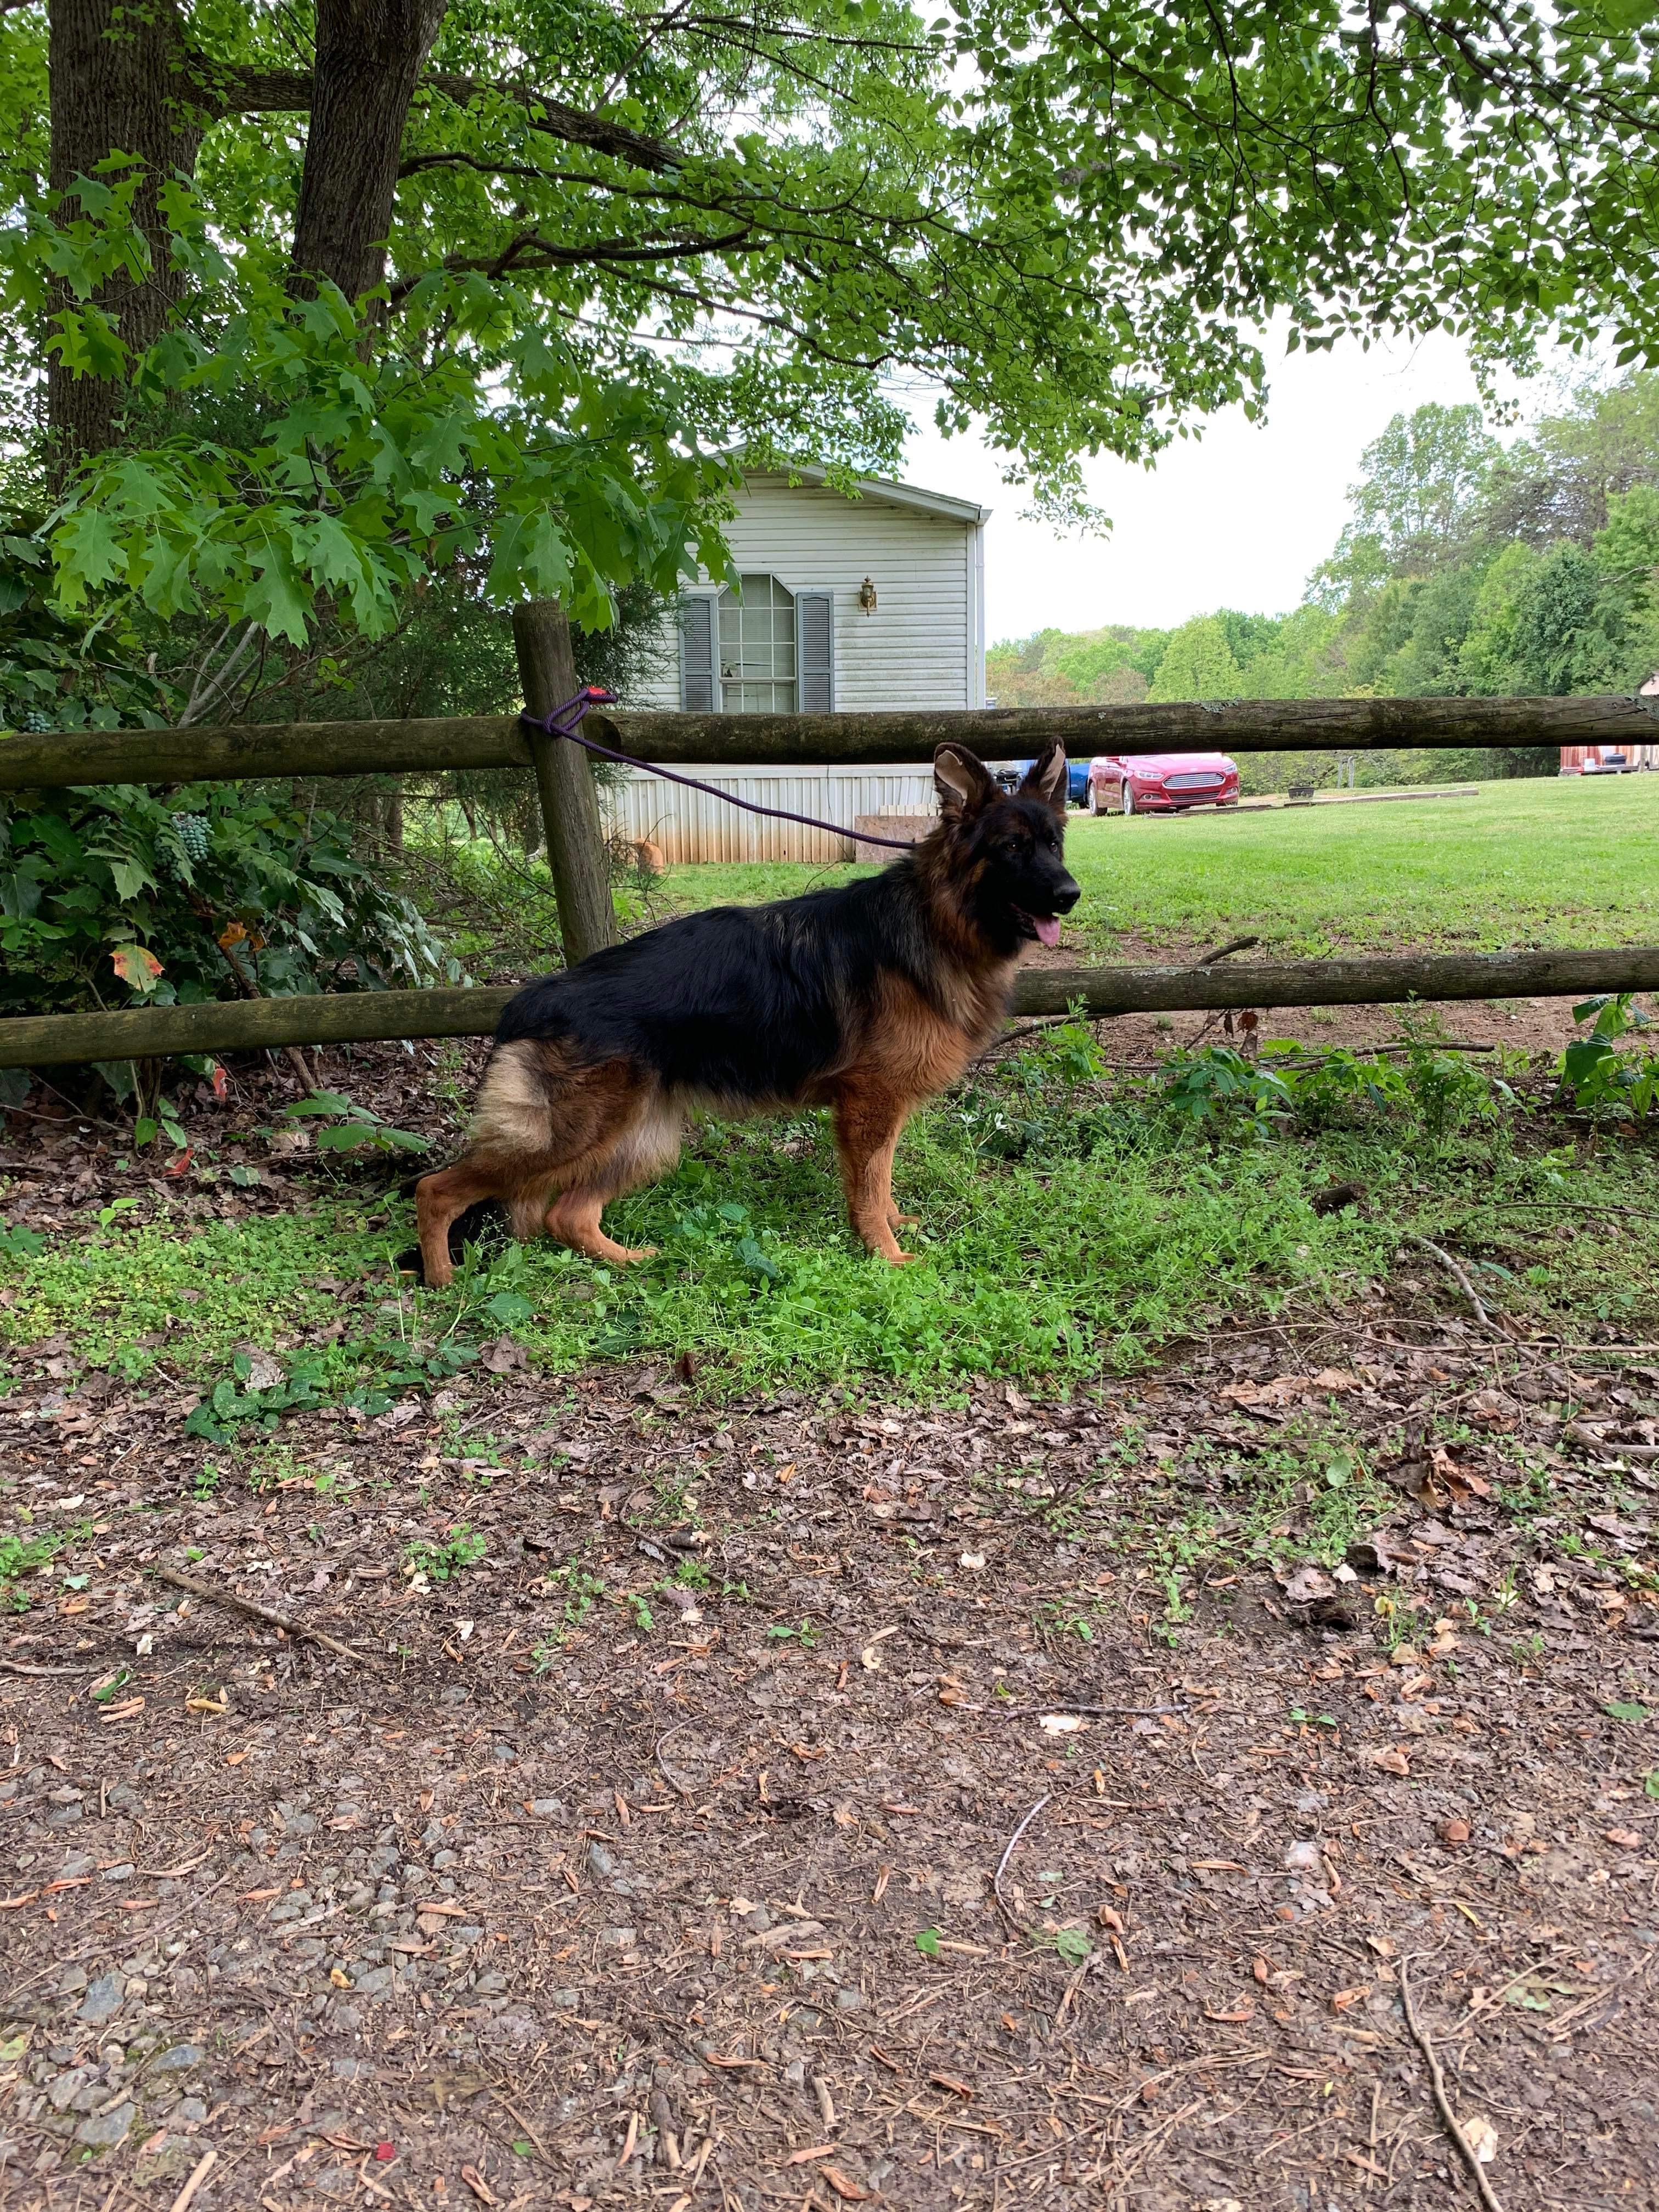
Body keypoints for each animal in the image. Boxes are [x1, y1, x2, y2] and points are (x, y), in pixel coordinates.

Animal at [414, 739, 1079, 1286]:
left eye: (1053, 845)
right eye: (1011, 848)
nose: (1070, 895)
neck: (936, 921)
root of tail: (533, 999)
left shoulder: (884, 1108)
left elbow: (883, 1178)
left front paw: (894, 1228)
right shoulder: (870, 1104)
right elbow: (869, 1187)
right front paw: (885, 1255)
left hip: (637, 1139)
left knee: (568, 1215)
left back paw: (626, 1261)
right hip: (569, 1138)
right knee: (435, 1189)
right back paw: (444, 1283)